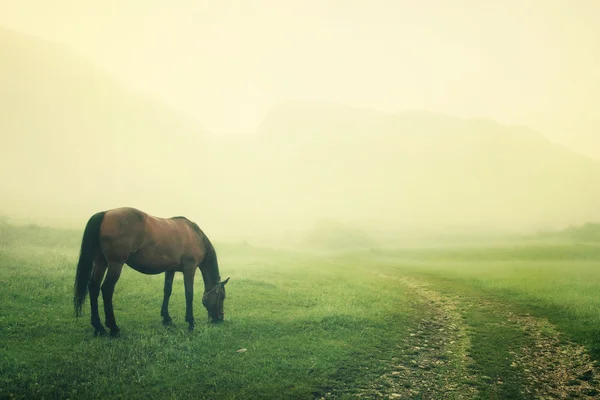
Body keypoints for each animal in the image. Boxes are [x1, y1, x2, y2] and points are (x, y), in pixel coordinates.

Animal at [71, 208, 230, 336]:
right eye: (222, 297)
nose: (220, 319)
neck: (195, 236)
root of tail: (105, 213)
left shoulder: (170, 270)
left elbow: (167, 291)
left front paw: (166, 318)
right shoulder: (189, 269)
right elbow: (189, 294)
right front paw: (190, 322)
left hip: (101, 262)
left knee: (94, 287)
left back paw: (98, 327)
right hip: (116, 264)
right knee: (106, 289)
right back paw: (113, 327)